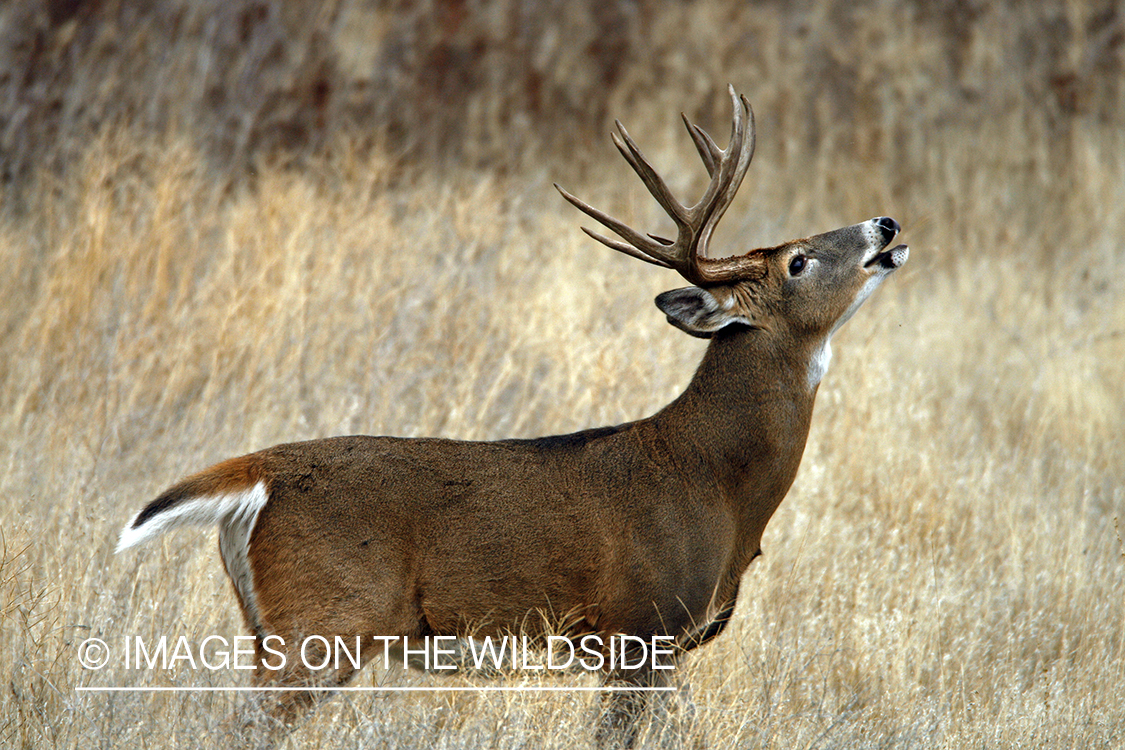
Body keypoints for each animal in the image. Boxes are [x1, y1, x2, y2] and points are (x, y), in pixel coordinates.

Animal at [116, 86, 904, 746]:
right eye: (798, 262)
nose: (885, 222)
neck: (713, 478)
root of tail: (259, 473)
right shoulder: (639, 627)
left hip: (269, 626)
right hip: (322, 622)